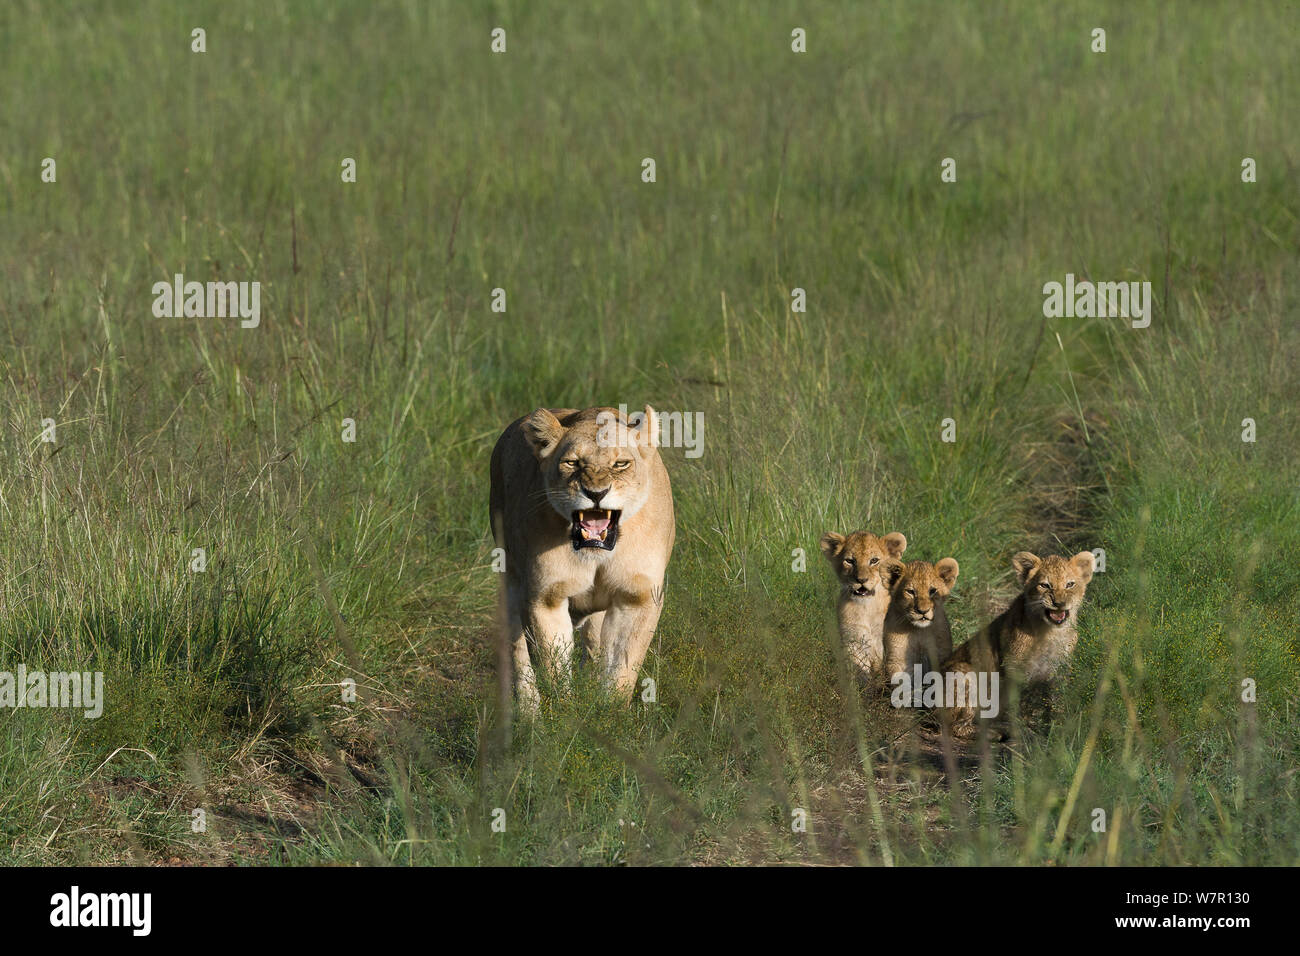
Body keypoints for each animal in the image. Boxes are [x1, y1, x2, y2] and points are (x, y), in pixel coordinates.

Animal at [489, 405, 675, 713]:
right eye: (572, 463)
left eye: (621, 464)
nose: (596, 493)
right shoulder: (546, 598)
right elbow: (554, 668)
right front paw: (565, 716)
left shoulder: (638, 597)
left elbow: (623, 666)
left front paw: (610, 715)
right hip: (510, 579)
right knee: (518, 652)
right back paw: (529, 713)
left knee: (595, 644)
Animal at [819, 530, 907, 684]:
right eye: (849, 561)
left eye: (874, 560)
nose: (861, 580)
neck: (867, 607)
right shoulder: (853, 641)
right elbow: (859, 671)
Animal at [881, 558, 959, 686]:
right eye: (910, 592)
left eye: (932, 591)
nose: (923, 611)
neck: (919, 631)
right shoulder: (897, 659)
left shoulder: (941, 654)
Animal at [938, 550, 1095, 738]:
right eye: (1045, 585)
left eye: (1070, 584)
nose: (1059, 603)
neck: (1051, 632)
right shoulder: (1016, 669)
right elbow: (1016, 704)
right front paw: (1022, 731)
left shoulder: (1059, 670)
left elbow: (1057, 701)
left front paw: (1059, 729)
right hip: (963, 671)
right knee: (955, 726)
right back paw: (993, 732)